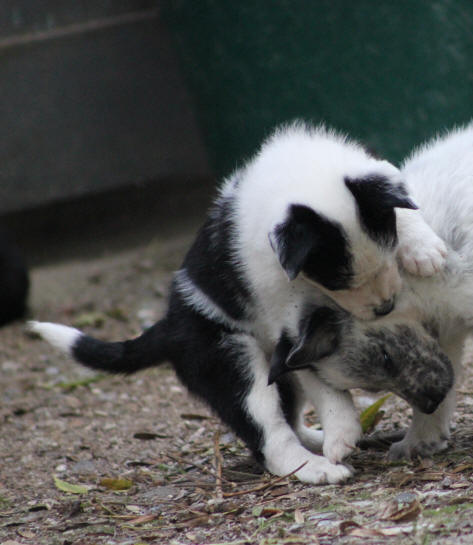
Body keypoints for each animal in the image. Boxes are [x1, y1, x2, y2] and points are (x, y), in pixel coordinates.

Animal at [31, 121, 444, 482]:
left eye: (388, 249)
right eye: (336, 281)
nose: (385, 307)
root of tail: (169, 325)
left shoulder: (371, 173)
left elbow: (402, 204)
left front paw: (423, 250)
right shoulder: (288, 326)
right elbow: (321, 379)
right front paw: (342, 431)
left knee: (287, 418)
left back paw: (314, 438)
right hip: (232, 361)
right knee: (270, 436)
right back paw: (316, 467)